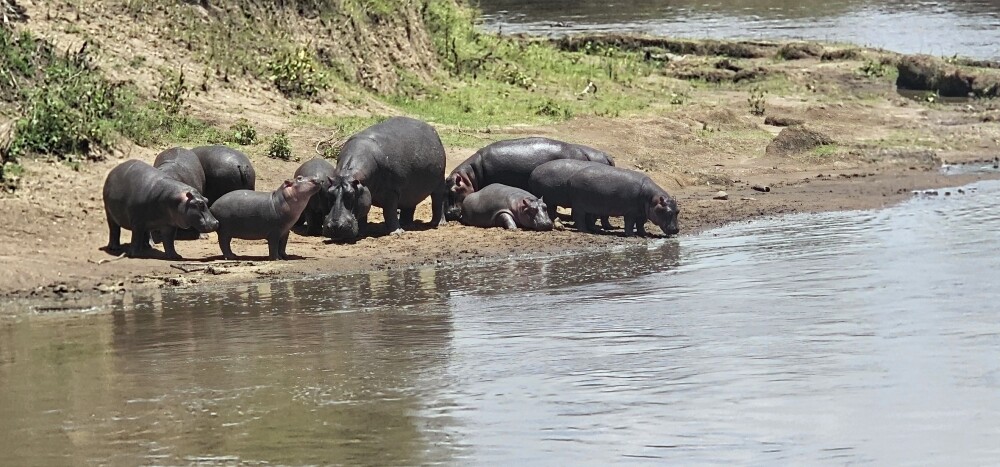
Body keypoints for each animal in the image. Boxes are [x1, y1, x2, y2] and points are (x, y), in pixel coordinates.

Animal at [528, 159, 679, 236]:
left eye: (677, 211)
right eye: (667, 211)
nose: (676, 230)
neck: (652, 198)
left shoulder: (642, 212)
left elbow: (641, 224)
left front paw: (643, 233)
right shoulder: (630, 212)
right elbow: (630, 224)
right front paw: (632, 235)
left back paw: (594, 229)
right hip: (575, 205)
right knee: (577, 217)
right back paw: (585, 231)